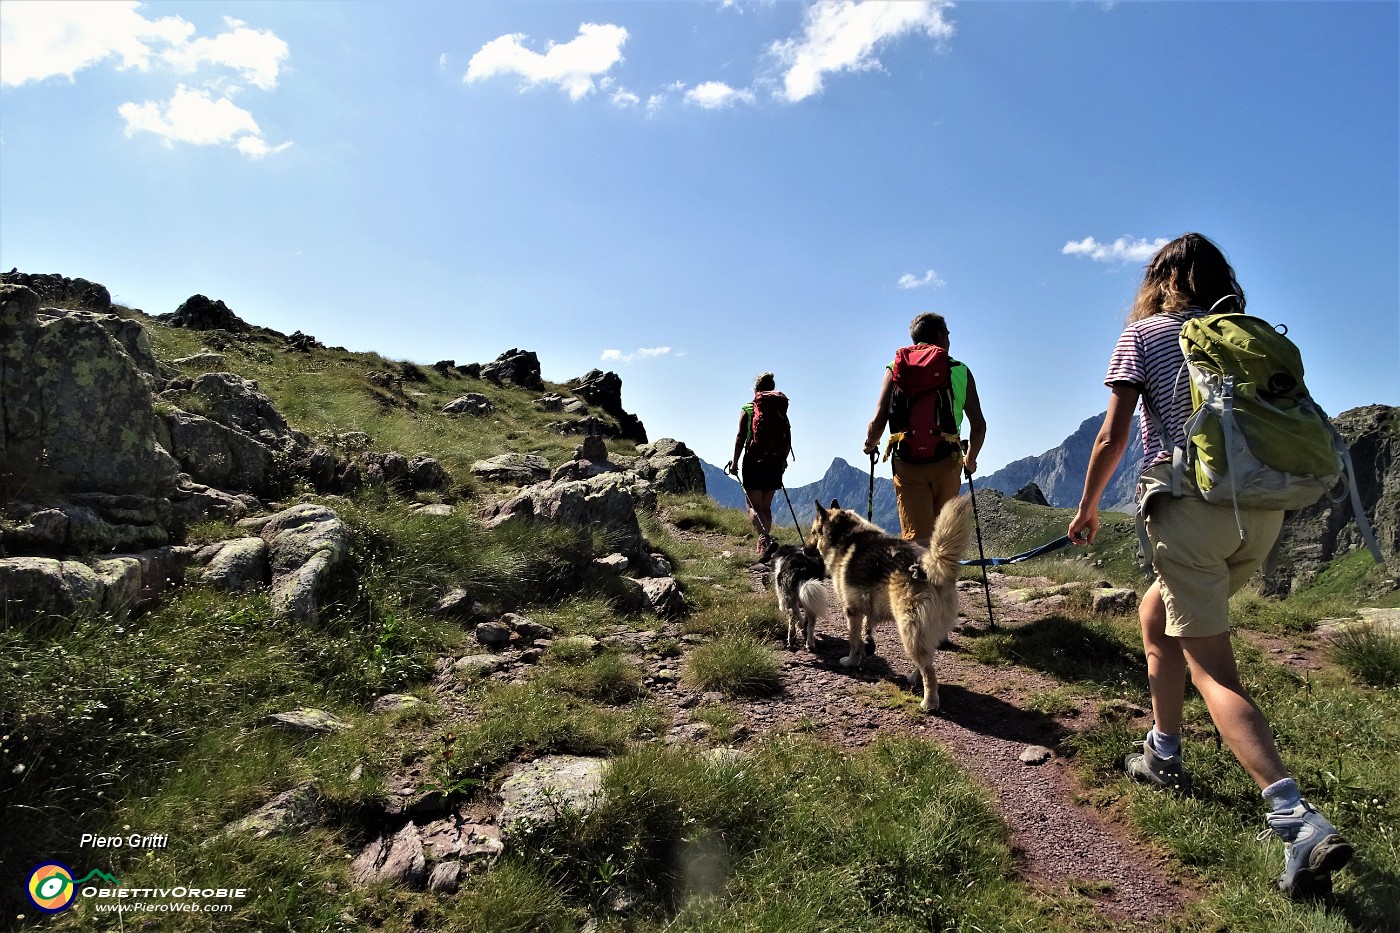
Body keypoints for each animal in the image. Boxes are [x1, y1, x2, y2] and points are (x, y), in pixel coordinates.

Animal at [812, 498, 974, 708]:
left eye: (813, 532)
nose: (804, 549)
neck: (846, 534)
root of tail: (929, 566)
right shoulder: (865, 609)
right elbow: (865, 630)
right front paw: (866, 647)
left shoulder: (852, 611)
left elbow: (854, 640)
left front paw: (851, 661)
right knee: (927, 660)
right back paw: (915, 678)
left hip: (910, 630)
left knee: (929, 670)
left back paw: (929, 702)